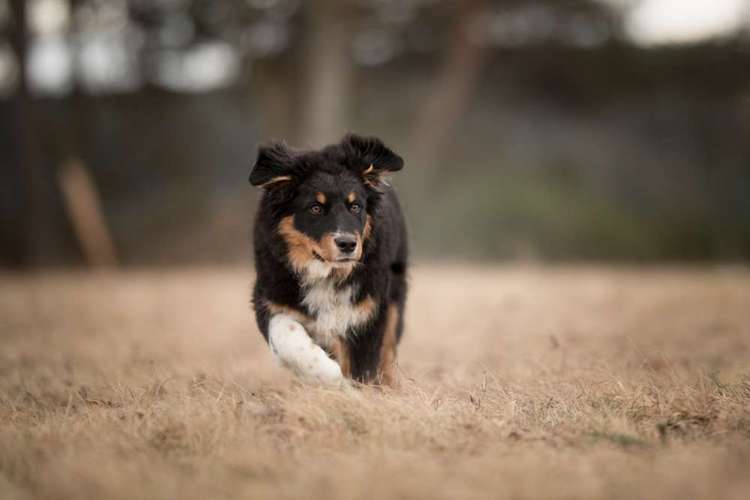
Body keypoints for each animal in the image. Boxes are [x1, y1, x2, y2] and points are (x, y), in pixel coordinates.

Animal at [250, 134, 408, 386]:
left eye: (355, 207)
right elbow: (288, 336)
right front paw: (327, 374)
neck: (327, 273)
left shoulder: (368, 311)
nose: (347, 244)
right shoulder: (270, 298)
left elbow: (363, 367)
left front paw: (355, 390)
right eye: (315, 208)